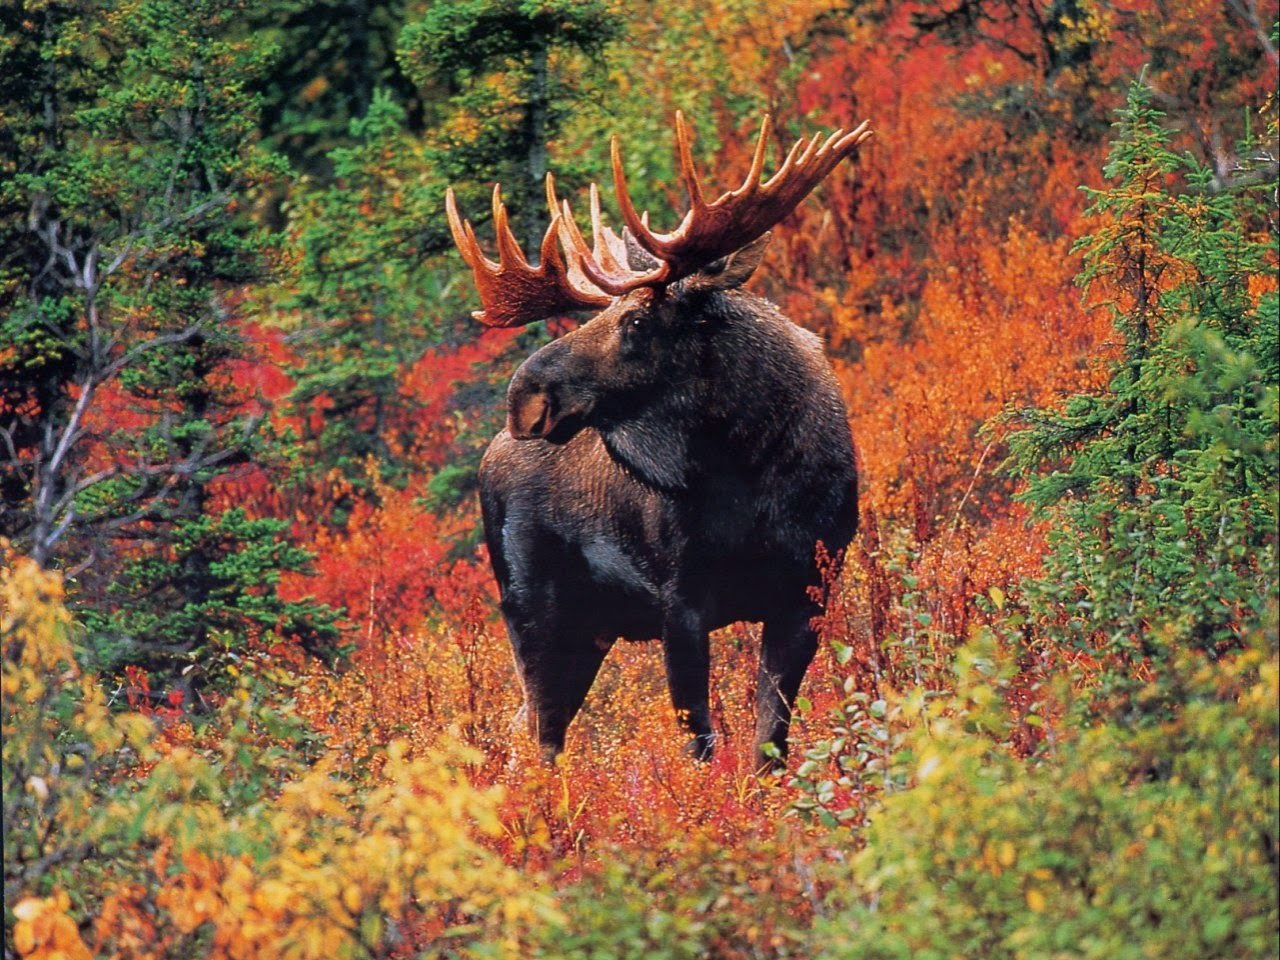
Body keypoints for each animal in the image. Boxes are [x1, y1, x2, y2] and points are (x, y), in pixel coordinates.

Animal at [446, 112, 871, 771]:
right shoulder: (681, 600)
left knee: (526, 731)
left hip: (588, 630)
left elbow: (770, 739)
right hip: (531, 608)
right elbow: (700, 742)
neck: (757, 475)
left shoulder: (809, 589)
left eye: (637, 320)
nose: (525, 397)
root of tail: (490, 456)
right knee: (538, 738)